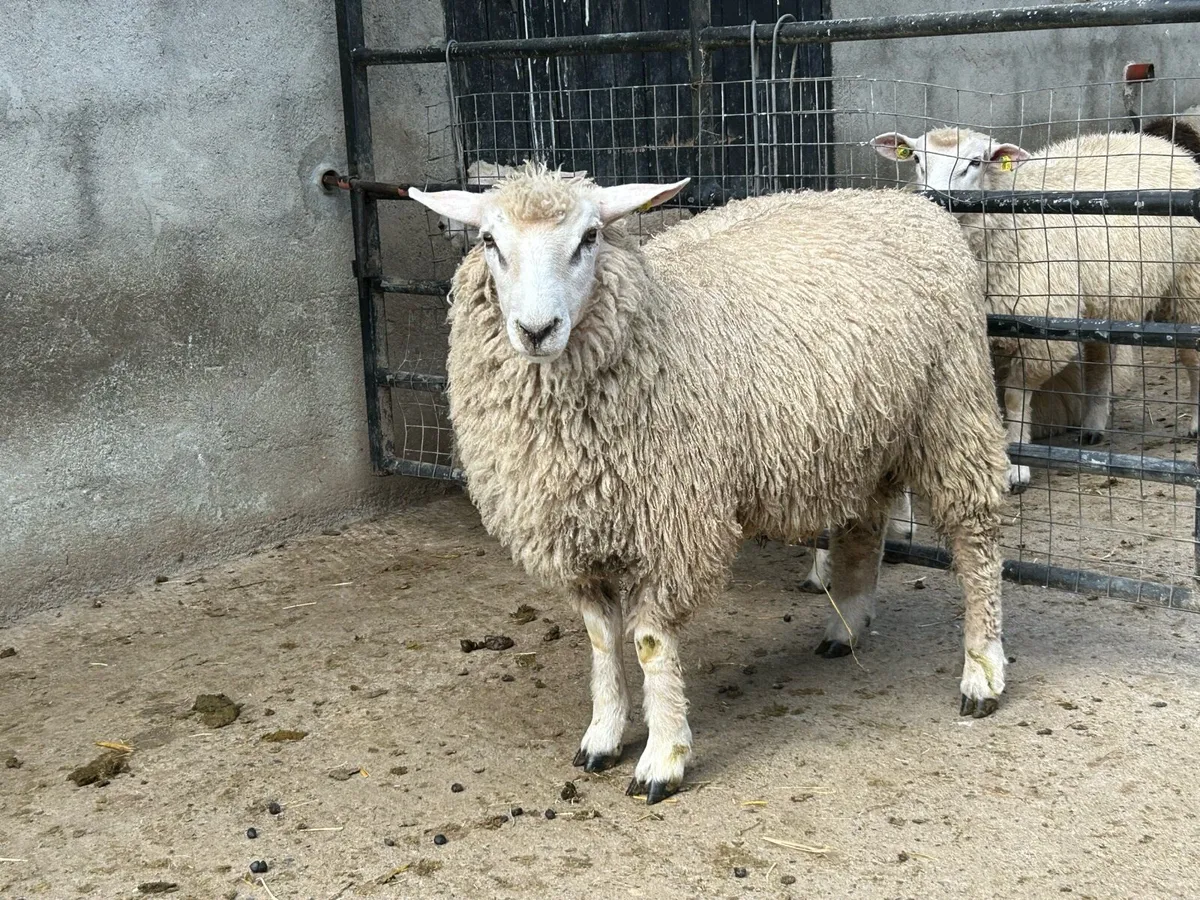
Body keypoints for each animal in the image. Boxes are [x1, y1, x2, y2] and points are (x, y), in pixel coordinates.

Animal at [408, 163, 1010, 804]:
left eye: (590, 237)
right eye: (489, 241)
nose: (536, 329)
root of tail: (902, 202)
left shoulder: (673, 522)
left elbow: (649, 643)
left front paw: (663, 756)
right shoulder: (571, 531)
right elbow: (600, 639)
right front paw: (602, 734)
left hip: (953, 411)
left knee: (976, 540)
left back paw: (982, 670)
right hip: (861, 435)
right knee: (863, 525)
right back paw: (846, 625)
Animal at [871, 127, 1200, 490]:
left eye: (975, 162)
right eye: (917, 159)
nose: (934, 201)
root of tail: (1155, 141)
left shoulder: (1041, 335)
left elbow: (1015, 398)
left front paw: (1016, 465)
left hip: (1188, 283)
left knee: (1191, 357)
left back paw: (1194, 424)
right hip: (1103, 299)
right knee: (1101, 360)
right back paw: (1093, 426)